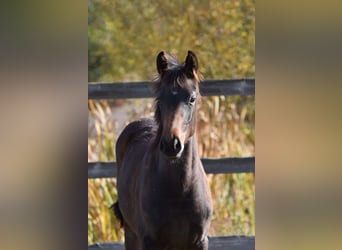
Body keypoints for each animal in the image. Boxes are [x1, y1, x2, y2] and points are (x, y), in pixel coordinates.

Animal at [112, 51, 212, 250]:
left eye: (192, 98)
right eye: (160, 99)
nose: (171, 145)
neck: (180, 192)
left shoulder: (200, 241)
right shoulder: (149, 241)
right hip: (131, 233)